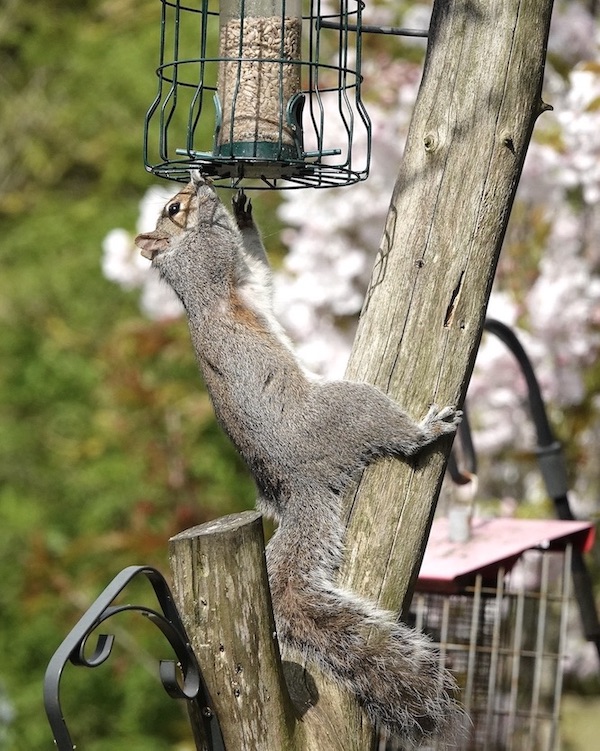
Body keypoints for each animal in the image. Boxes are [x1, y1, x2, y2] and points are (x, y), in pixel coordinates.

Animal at [135, 171, 464, 747]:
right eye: (173, 208)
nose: (197, 179)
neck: (180, 257)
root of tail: (297, 486)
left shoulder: (248, 276)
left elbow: (259, 267)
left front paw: (243, 206)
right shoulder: (208, 264)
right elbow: (224, 249)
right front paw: (219, 205)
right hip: (353, 408)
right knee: (398, 437)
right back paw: (427, 429)